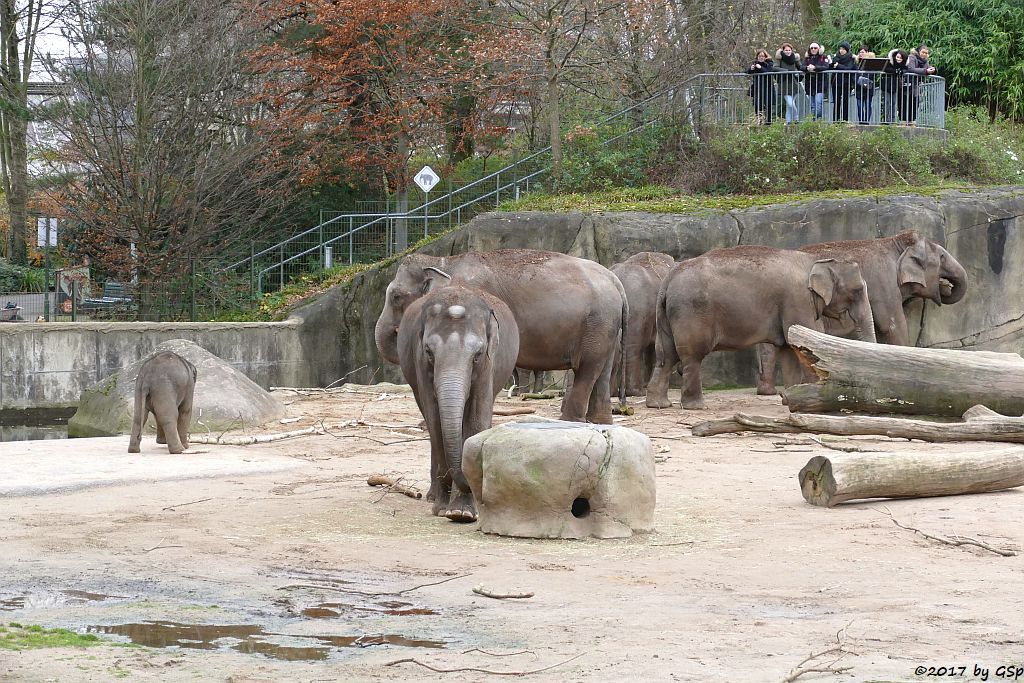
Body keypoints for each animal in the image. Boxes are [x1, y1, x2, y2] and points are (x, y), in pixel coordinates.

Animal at [376, 248, 622, 423]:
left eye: (396, 296)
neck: (444, 261)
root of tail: (615, 280)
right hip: (605, 326)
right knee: (602, 369)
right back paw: (600, 422)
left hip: (597, 324)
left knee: (587, 369)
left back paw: (569, 420)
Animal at [393, 282, 520, 524]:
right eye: (429, 352)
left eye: (478, 354)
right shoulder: (420, 364)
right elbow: (434, 419)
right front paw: (445, 510)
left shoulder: (489, 364)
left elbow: (476, 418)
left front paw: (464, 513)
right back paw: (433, 497)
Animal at [643, 246, 876, 411]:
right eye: (857, 290)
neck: (815, 260)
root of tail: (668, 279)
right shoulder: (798, 300)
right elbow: (803, 347)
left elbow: (790, 350)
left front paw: (790, 400)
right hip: (691, 312)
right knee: (692, 356)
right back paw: (696, 407)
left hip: (666, 315)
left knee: (666, 355)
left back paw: (658, 404)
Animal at [753, 229, 966, 395]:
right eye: (942, 257)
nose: (946, 286)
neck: (894, 242)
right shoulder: (884, 283)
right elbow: (892, 325)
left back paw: (768, 391)